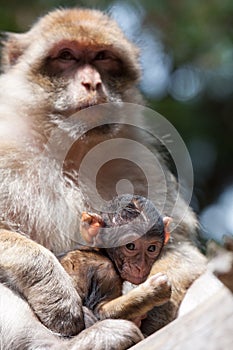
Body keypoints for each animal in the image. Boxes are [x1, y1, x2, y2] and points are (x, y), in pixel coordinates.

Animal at [59, 196, 171, 326]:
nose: (141, 266)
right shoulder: (105, 273)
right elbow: (101, 314)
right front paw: (153, 291)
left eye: (152, 248)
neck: (105, 255)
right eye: (130, 246)